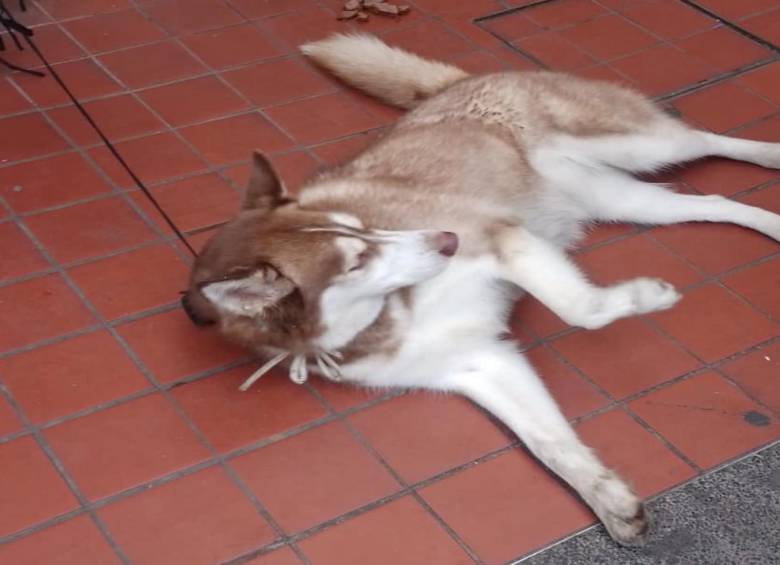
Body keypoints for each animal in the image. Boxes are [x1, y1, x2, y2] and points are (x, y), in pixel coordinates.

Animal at [183, 33, 780, 544]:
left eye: (364, 230)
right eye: (357, 261)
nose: (446, 238)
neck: (385, 320)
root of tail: (455, 84)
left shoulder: (503, 239)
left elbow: (581, 308)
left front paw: (645, 298)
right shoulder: (479, 362)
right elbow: (548, 444)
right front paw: (606, 497)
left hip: (641, 144)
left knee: (704, 137)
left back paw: (770, 153)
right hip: (630, 201)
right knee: (716, 204)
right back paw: (771, 223)